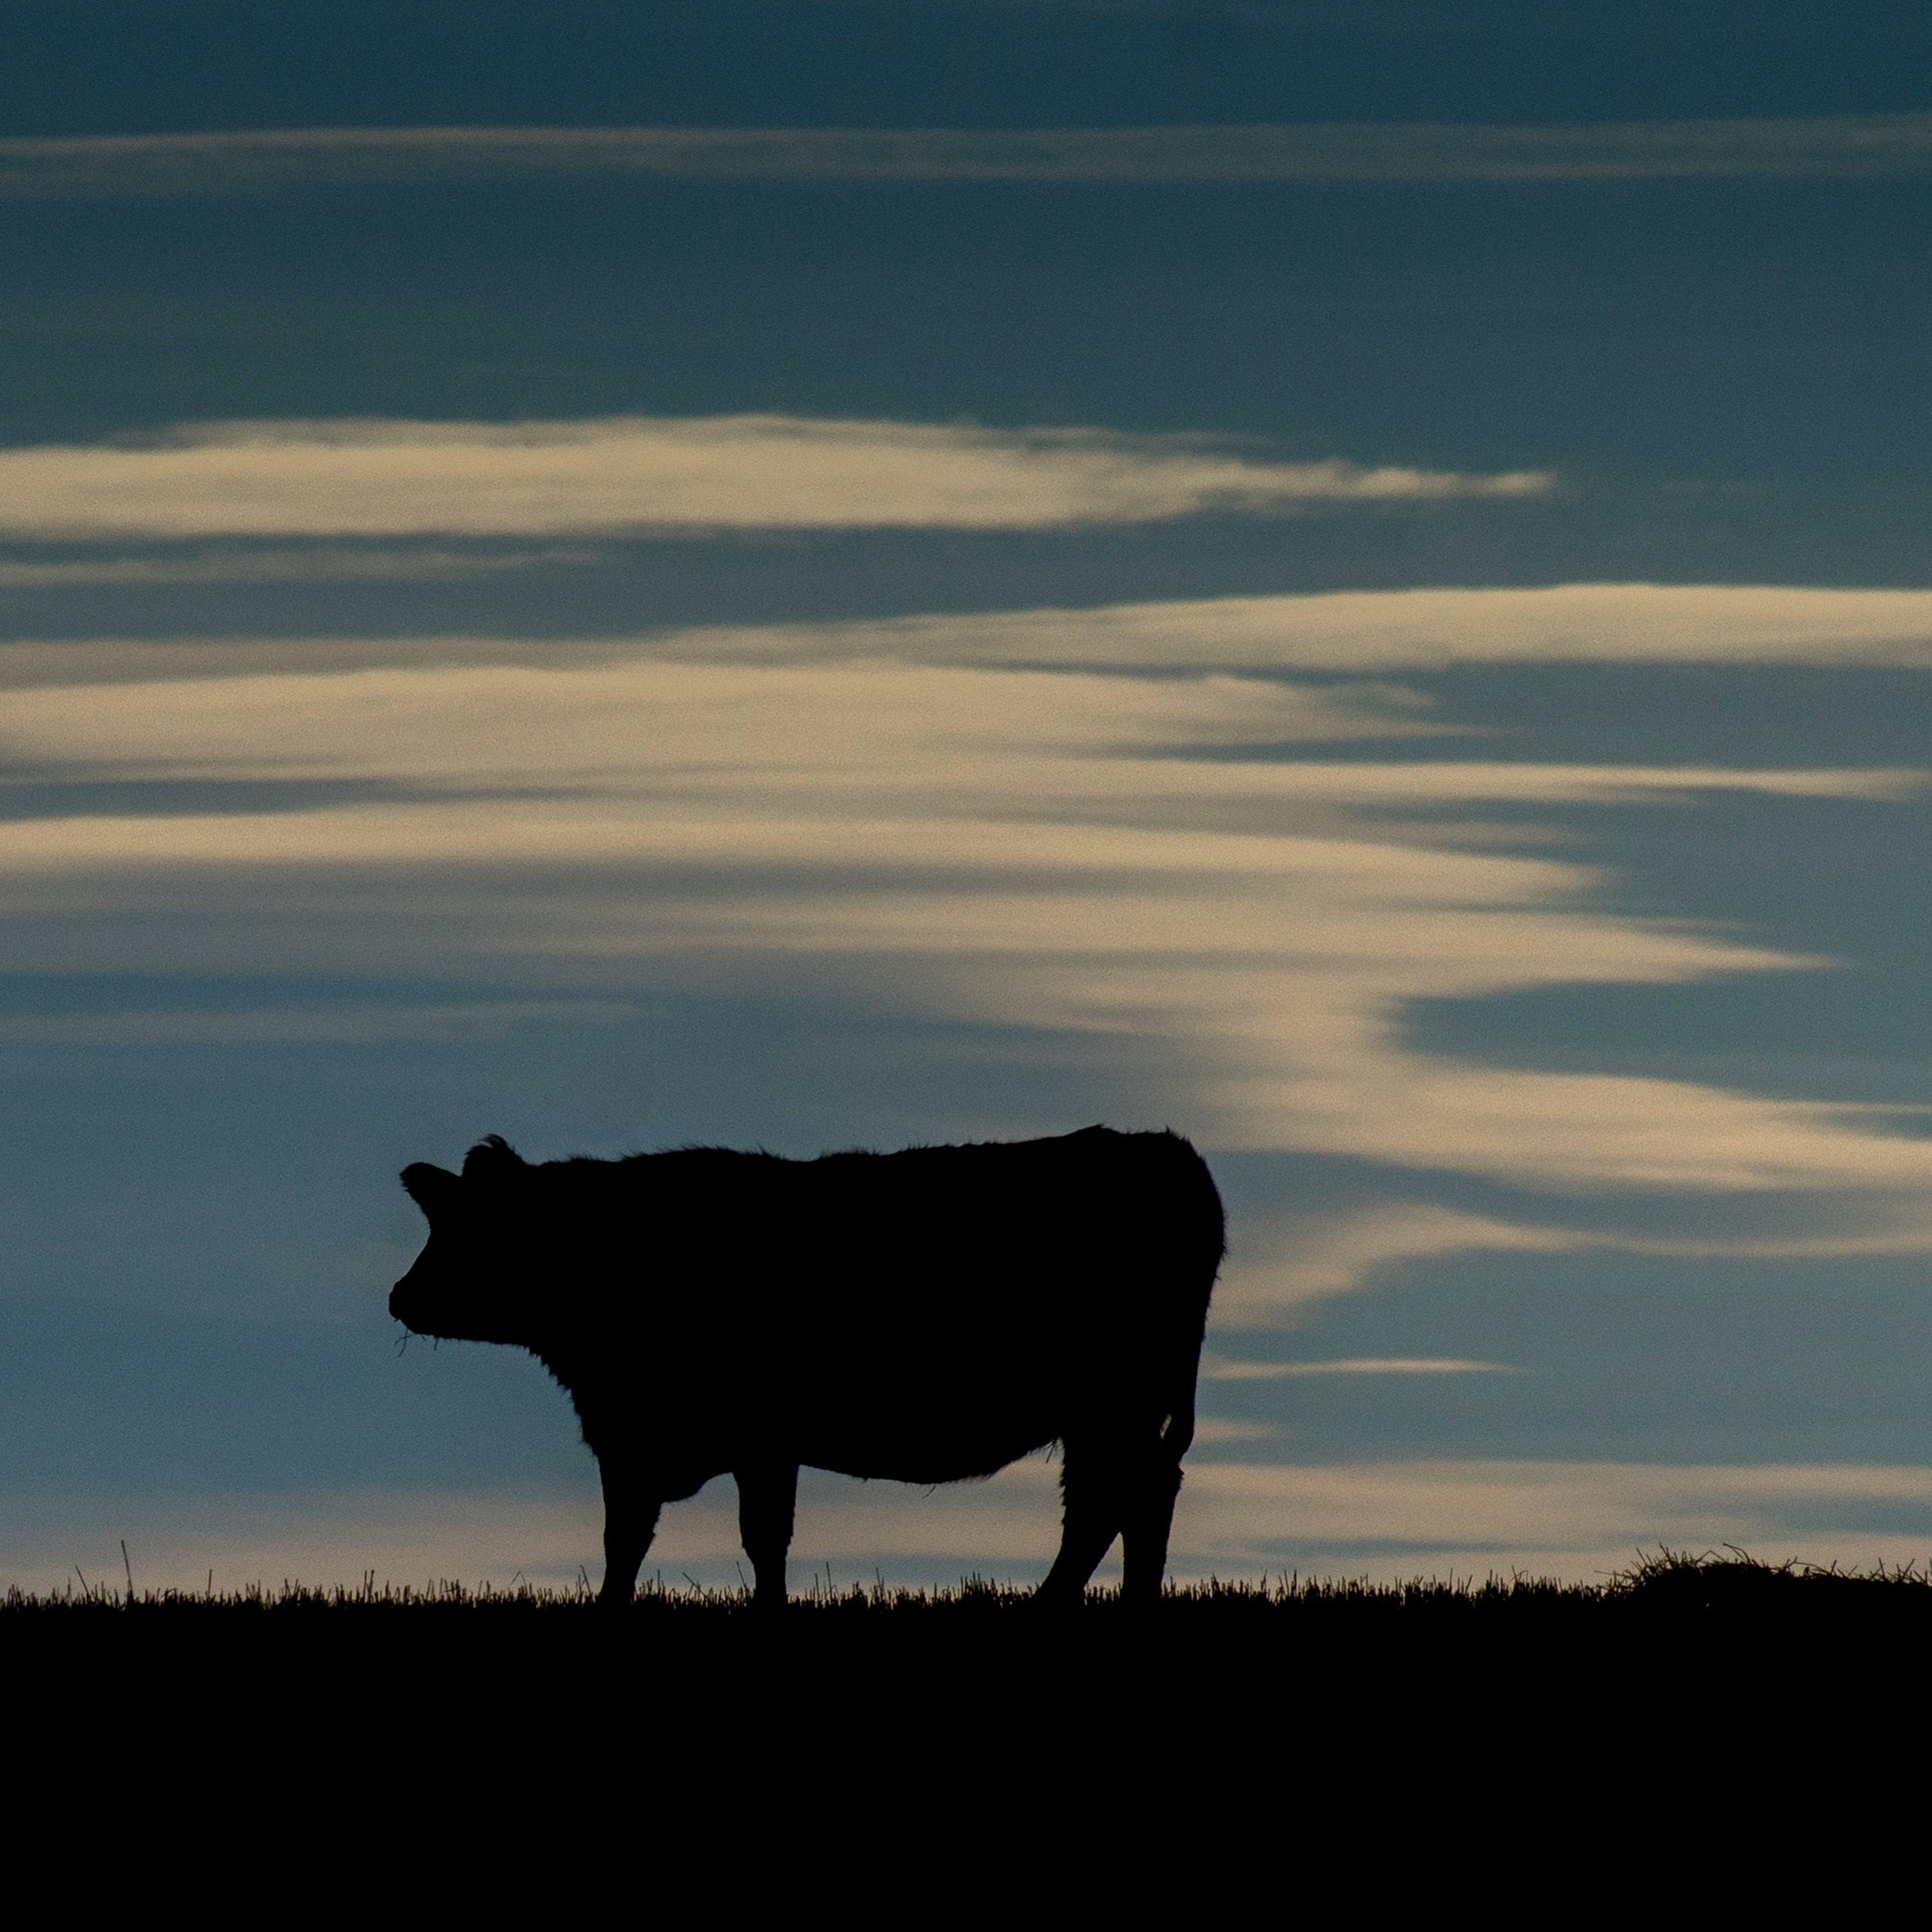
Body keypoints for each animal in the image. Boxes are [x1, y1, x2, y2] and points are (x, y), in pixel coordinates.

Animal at [390, 1124, 1224, 1609]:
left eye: (463, 1227)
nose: (401, 1298)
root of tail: (1169, 1151)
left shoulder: (742, 1440)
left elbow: (754, 1536)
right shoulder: (642, 1440)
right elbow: (632, 1538)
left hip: (1113, 1403)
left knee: (1111, 1502)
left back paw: (1054, 1606)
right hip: (1114, 1411)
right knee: (1133, 1497)